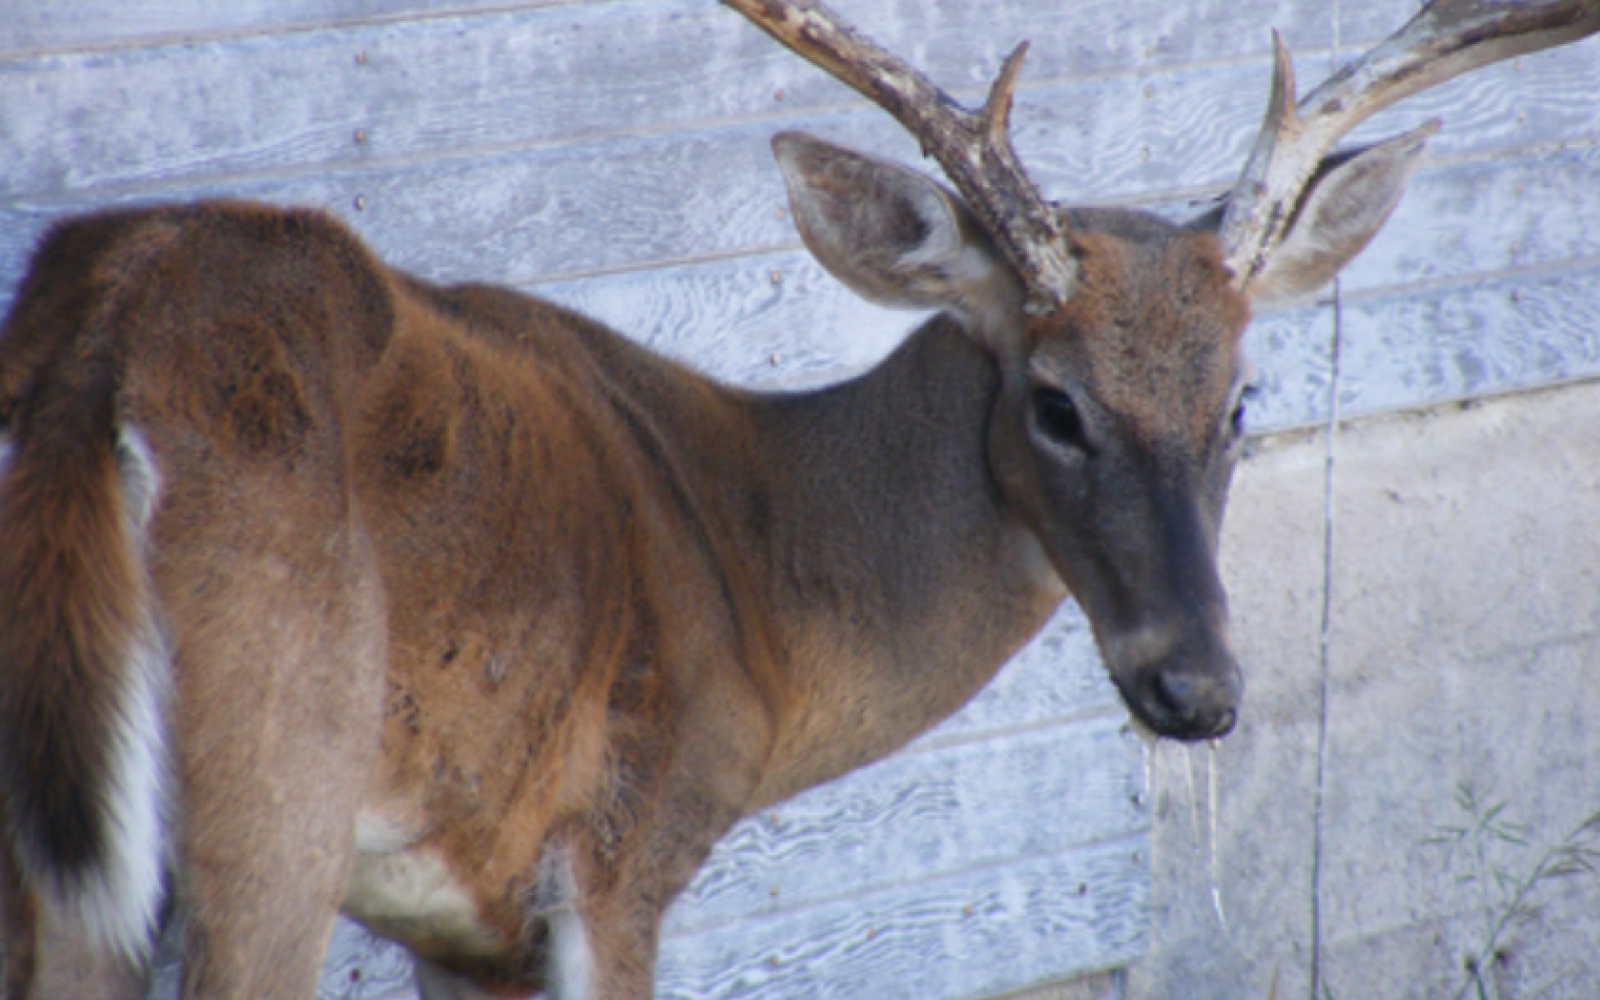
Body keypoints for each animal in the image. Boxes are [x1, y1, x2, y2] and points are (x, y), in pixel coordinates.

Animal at [1, 0, 1595, 996]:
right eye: (1055, 402)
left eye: (1244, 400)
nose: (1197, 688)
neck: (756, 582)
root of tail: (104, 345)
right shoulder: (617, 855)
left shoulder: (468, 931)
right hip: (276, 779)